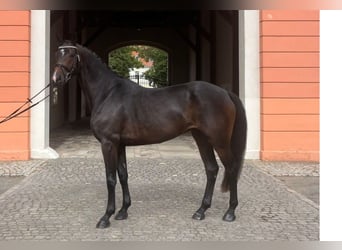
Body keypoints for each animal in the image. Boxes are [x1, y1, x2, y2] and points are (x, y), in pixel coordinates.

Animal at [52, 40, 247, 229]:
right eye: (57, 54)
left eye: (71, 55)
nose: (56, 79)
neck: (107, 93)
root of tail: (224, 92)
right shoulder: (119, 144)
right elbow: (123, 175)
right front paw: (123, 211)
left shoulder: (108, 143)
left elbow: (110, 178)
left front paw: (106, 217)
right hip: (201, 138)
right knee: (211, 169)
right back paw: (201, 211)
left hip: (219, 141)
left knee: (231, 168)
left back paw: (230, 212)